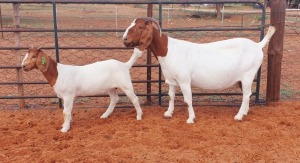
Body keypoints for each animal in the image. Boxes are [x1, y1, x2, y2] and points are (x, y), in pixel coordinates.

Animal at [123, 17, 276, 123]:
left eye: (140, 27)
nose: (125, 39)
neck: (168, 50)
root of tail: (258, 45)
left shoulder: (184, 80)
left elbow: (188, 100)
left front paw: (191, 119)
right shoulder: (171, 80)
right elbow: (171, 96)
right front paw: (168, 113)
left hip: (248, 75)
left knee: (246, 94)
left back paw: (239, 116)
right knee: (247, 94)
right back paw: (244, 112)